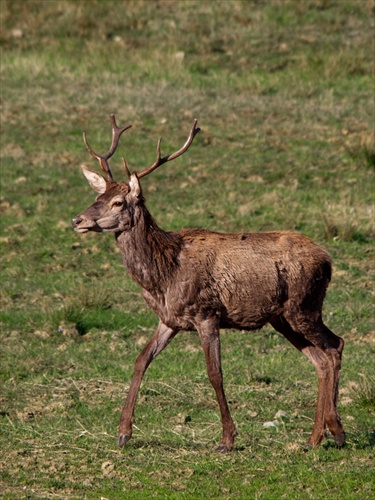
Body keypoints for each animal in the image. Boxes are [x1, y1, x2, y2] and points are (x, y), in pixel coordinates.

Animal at [71, 115, 346, 452]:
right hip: (283, 318)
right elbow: (140, 360)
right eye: (97, 197)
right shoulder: (170, 319)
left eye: (118, 202)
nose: (77, 220)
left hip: (304, 306)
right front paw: (123, 433)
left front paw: (227, 438)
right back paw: (315, 436)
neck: (163, 275)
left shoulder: (207, 313)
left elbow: (215, 374)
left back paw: (336, 431)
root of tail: (328, 260)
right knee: (320, 359)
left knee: (334, 346)